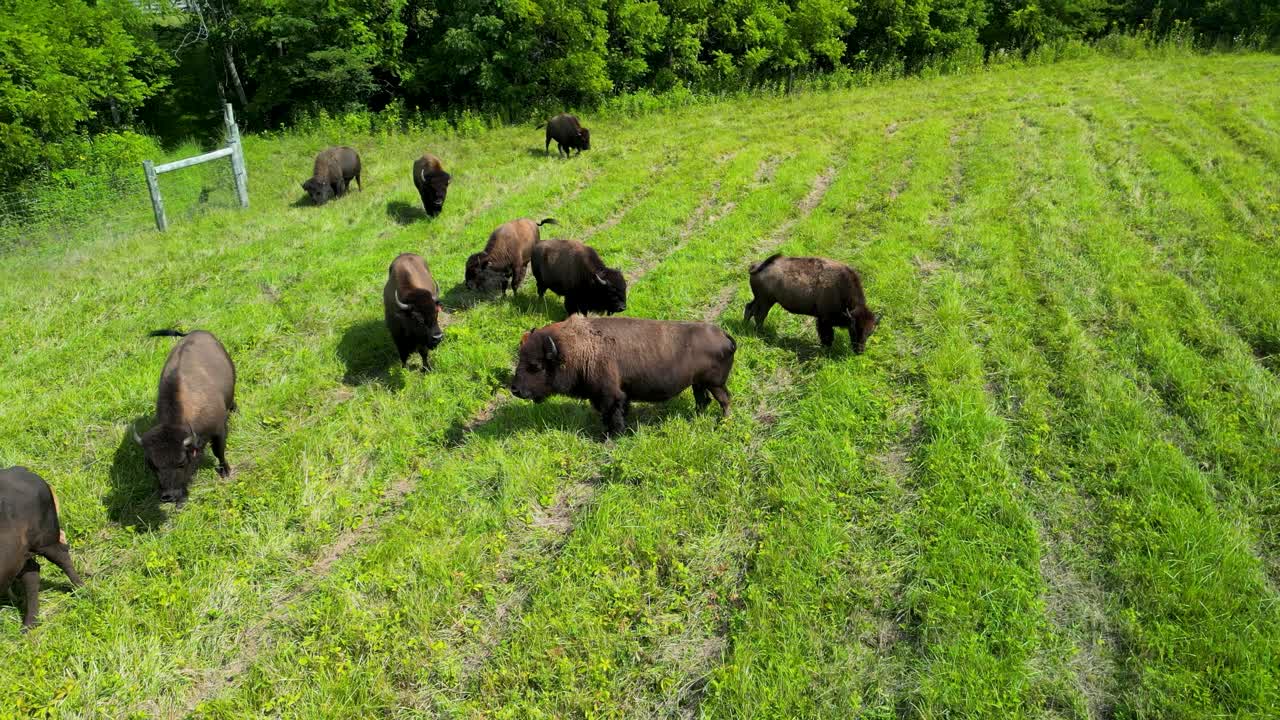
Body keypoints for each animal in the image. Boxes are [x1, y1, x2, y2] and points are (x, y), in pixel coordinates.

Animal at [1, 466, 83, 630]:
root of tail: (19, 469)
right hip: (21, 554)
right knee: (32, 573)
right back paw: (29, 624)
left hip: (45, 540)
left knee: (62, 557)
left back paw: (82, 588)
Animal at [132, 330, 237, 504]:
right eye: (152, 465)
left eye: (181, 462)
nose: (168, 496)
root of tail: (196, 331)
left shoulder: (219, 431)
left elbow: (219, 451)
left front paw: (225, 471)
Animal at [509, 315, 736, 436]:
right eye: (520, 357)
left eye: (536, 365)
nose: (515, 389)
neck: (577, 349)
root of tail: (724, 335)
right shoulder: (611, 395)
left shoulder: (610, 395)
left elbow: (613, 414)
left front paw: (613, 435)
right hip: (698, 384)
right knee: (703, 400)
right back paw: (698, 417)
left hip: (715, 384)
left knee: (724, 399)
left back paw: (723, 423)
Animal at [743, 254, 880, 352]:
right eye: (853, 329)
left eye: (870, 332)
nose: (860, 351)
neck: (840, 287)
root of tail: (757, 266)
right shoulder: (824, 320)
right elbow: (826, 336)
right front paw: (826, 349)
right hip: (766, 301)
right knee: (759, 315)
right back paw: (760, 333)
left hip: (761, 299)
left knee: (749, 308)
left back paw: (746, 326)